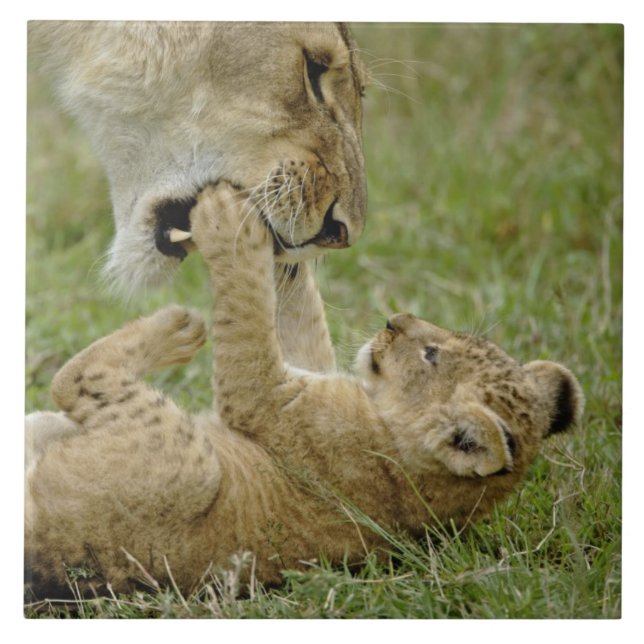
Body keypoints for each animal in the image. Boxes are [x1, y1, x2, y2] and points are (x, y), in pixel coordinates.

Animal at [24, 184, 584, 599]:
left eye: (431, 355)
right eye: (449, 341)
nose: (395, 320)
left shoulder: (269, 398)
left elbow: (247, 321)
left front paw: (229, 219)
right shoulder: (309, 372)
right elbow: (298, 315)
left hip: (187, 466)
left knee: (73, 379)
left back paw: (178, 327)